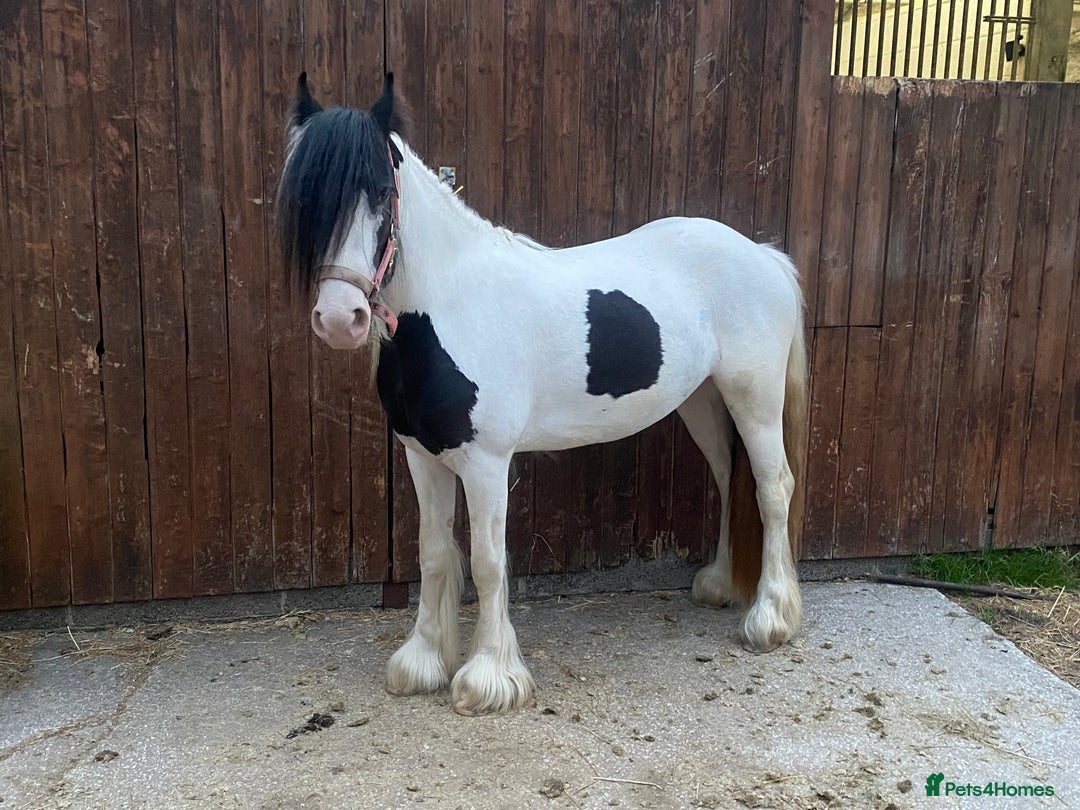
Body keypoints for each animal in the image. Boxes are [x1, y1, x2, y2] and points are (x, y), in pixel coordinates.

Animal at [275, 73, 808, 716]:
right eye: (304, 199)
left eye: (381, 190)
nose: (340, 319)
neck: (450, 307)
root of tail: (764, 255)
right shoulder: (423, 458)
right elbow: (433, 555)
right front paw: (422, 662)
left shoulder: (485, 463)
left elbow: (487, 563)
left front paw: (488, 678)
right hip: (701, 401)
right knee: (731, 479)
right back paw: (719, 585)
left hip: (753, 397)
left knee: (772, 488)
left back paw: (771, 619)